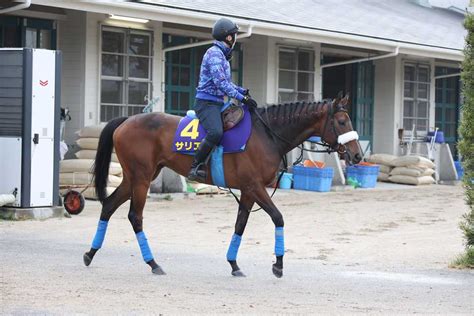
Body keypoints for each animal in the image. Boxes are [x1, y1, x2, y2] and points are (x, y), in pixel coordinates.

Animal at [83, 95, 362, 278]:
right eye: (341, 122)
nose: (357, 155)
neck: (266, 134)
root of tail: (126, 120)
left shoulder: (248, 191)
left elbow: (240, 225)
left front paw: (234, 264)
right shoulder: (255, 187)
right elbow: (278, 218)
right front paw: (279, 265)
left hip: (134, 178)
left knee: (108, 206)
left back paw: (90, 253)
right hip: (141, 178)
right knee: (135, 216)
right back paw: (153, 263)